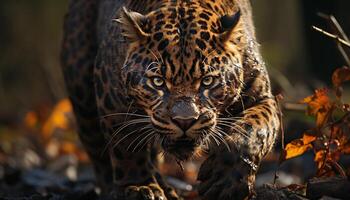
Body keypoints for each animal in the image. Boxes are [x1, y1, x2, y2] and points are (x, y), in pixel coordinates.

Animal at [60, 0, 278, 199]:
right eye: (158, 82)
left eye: (207, 81)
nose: (185, 121)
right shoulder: (111, 98)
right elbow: (127, 147)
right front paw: (140, 186)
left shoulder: (262, 98)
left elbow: (252, 131)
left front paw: (225, 179)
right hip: (83, 93)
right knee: (99, 153)